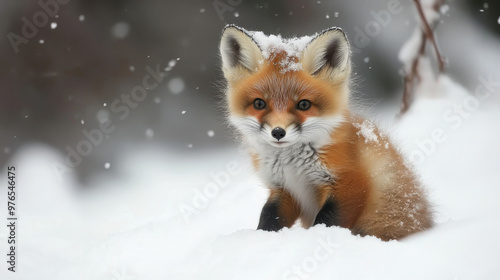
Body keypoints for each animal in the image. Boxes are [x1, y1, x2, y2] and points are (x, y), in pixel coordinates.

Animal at [220, 25, 434, 241]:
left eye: (304, 105)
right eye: (259, 103)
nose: (278, 132)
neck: (292, 166)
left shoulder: (351, 182)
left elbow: (328, 221)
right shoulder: (285, 189)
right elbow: (269, 217)